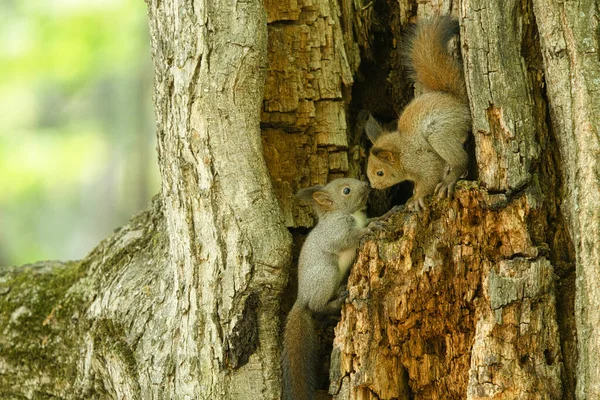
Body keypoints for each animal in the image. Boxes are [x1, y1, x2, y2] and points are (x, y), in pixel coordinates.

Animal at [282, 179, 376, 400]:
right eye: (346, 190)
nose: (366, 184)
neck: (351, 214)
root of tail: (302, 297)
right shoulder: (336, 231)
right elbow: (347, 238)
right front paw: (373, 227)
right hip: (327, 273)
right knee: (317, 306)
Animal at [364, 16, 472, 212]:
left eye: (380, 173)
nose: (374, 186)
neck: (402, 152)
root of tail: (459, 103)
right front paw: (412, 196)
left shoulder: (422, 160)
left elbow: (430, 177)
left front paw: (417, 198)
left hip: (439, 132)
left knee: (460, 160)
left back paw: (450, 179)